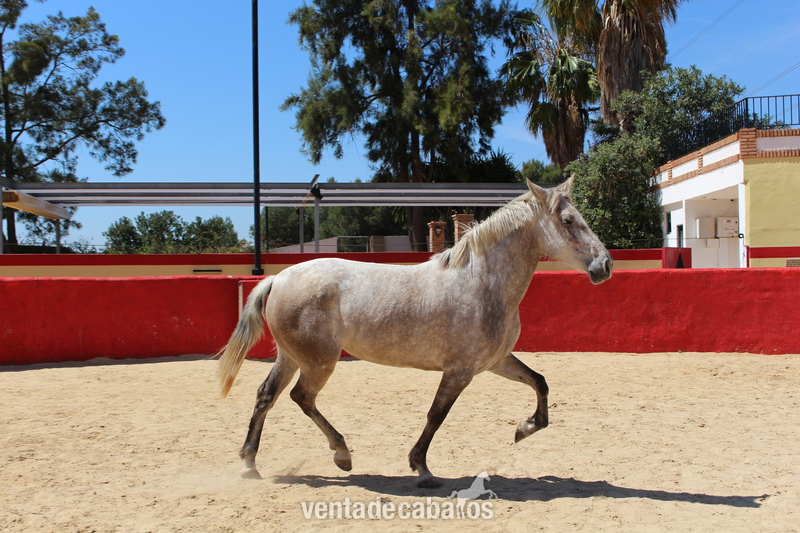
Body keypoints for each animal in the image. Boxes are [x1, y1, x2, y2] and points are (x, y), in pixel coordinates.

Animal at [218, 177, 612, 488]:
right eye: (568, 220)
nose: (604, 265)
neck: (480, 282)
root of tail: (278, 278)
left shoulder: (495, 362)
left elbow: (540, 384)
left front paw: (523, 428)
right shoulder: (460, 371)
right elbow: (436, 415)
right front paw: (421, 469)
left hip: (290, 357)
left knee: (266, 395)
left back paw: (250, 464)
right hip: (318, 362)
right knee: (301, 397)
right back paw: (342, 454)